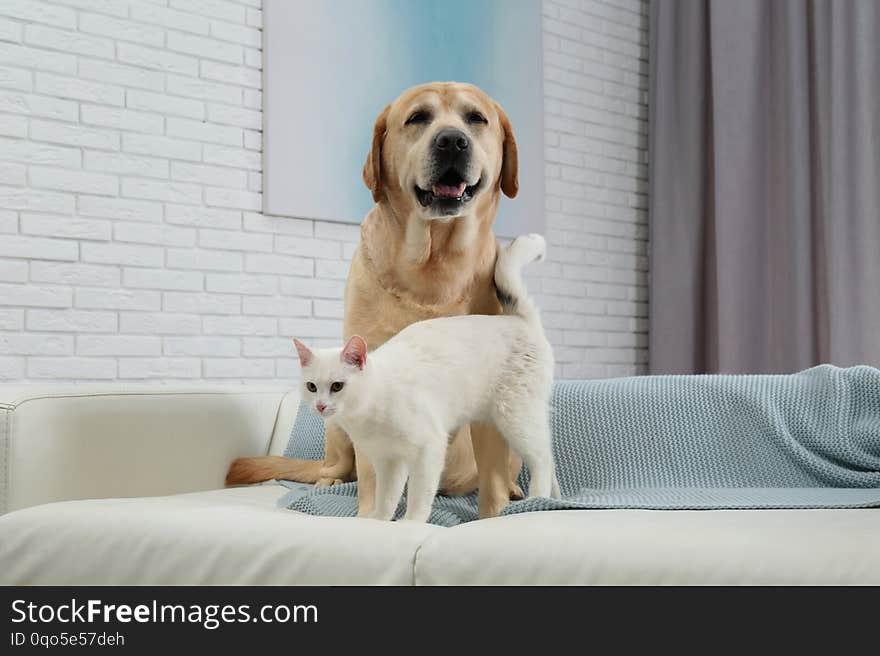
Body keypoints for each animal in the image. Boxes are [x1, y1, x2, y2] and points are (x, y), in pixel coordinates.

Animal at [230, 82, 524, 516]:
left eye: (476, 118)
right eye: (418, 118)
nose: (452, 141)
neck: (435, 265)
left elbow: (493, 482)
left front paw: (495, 515)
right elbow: (370, 475)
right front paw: (370, 515)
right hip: (335, 426)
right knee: (339, 464)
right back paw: (331, 479)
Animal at [294, 236, 556, 524]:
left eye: (337, 386)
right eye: (311, 386)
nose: (320, 405)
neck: (368, 412)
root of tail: (518, 319)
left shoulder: (428, 447)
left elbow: (420, 493)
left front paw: (411, 522)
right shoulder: (389, 461)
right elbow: (387, 496)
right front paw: (378, 520)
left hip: (516, 416)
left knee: (543, 458)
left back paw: (537, 499)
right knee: (550, 454)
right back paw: (553, 499)